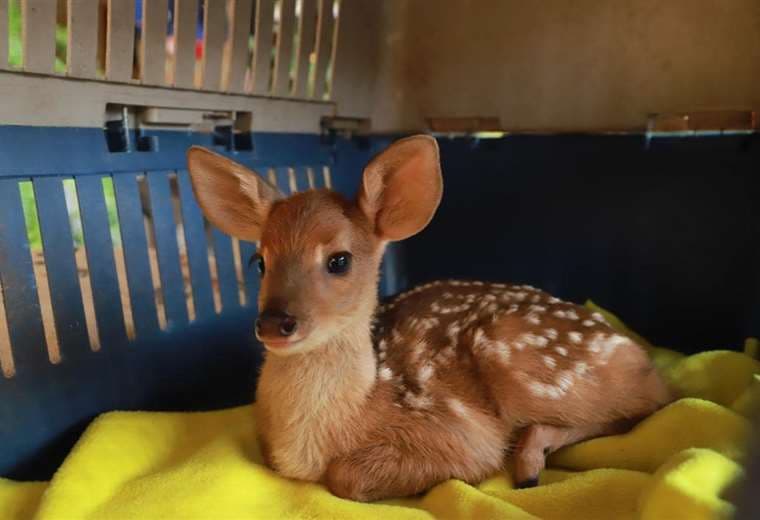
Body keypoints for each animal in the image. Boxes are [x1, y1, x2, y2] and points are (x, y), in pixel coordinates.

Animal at [187, 136, 672, 502]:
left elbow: (344, 476)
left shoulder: (460, 434)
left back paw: (530, 461)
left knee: (646, 403)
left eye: (339, 260)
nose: (274, 323)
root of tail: (635, 348)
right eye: (259, 262)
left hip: (523, 360)